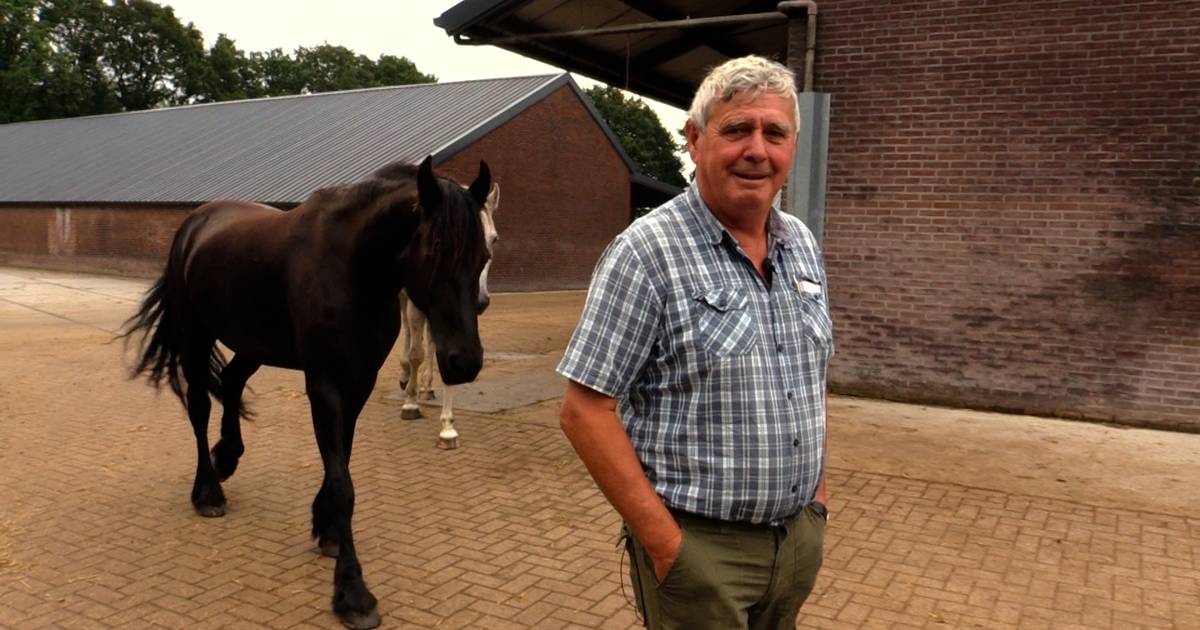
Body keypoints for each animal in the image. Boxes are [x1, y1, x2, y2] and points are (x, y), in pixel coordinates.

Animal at [397, 183, 498, 449]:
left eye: (494, 239)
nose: (480, 301)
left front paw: (447, 428)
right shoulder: (415, 305)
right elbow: (416, 353)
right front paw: (410, 404)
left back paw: (426, 387)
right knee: (408, 333)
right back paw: (406, 379)